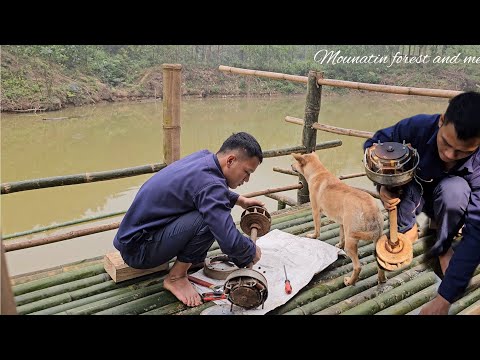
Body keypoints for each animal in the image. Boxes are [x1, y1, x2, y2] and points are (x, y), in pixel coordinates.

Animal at [288, 153, 386, 286]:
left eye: (296, 162)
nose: (291, 165)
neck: (318, 172)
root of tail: (371, 210)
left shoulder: (315, 210)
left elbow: (317, 229)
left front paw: (313, 236)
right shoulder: (341, 223)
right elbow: (341, 236)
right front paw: (339, 245)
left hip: (351, 243)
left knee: (357, 266)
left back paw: (349, 281)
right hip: (376, 240)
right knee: (380, 264)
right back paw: (381, 279)